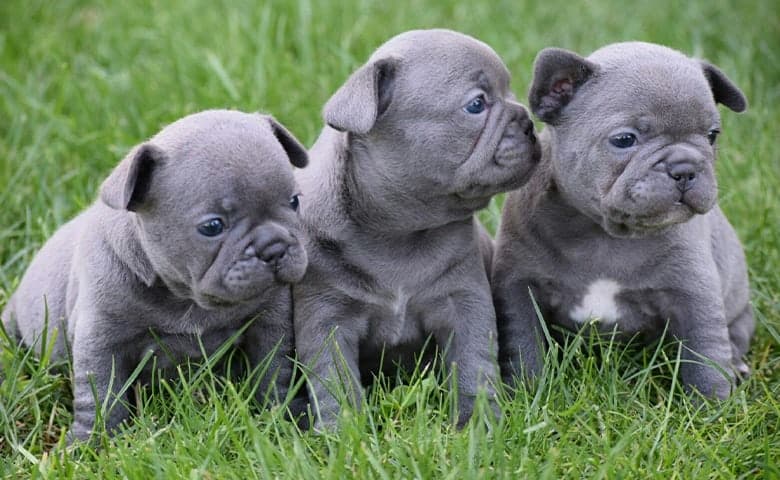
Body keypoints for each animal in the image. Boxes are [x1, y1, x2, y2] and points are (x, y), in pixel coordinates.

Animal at [1, 109, 310, 442]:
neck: (186, 296)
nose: (274, 246)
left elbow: (273, 370)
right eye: (212, 226)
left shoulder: (268, 322)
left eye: (295, 202)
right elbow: (101, 394)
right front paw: (93, 439)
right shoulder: (101, 339)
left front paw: (285, 416)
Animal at [292, 29, 544, 428]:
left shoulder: (464, 302)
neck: (400, 233)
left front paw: (477, 422)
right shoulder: (327, 319)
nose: (530, 124)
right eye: (477, 105)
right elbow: (336, 381)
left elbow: (473, 365)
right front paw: (344, 431)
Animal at [494, 42, 756, 402]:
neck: (605, 233)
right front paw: (525, 392)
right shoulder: (520, 286)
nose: (685, 167)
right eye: (624, 140)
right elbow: (524, 343)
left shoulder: (694, 294)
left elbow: (705, 355)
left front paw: (711, 405)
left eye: (712, 135)